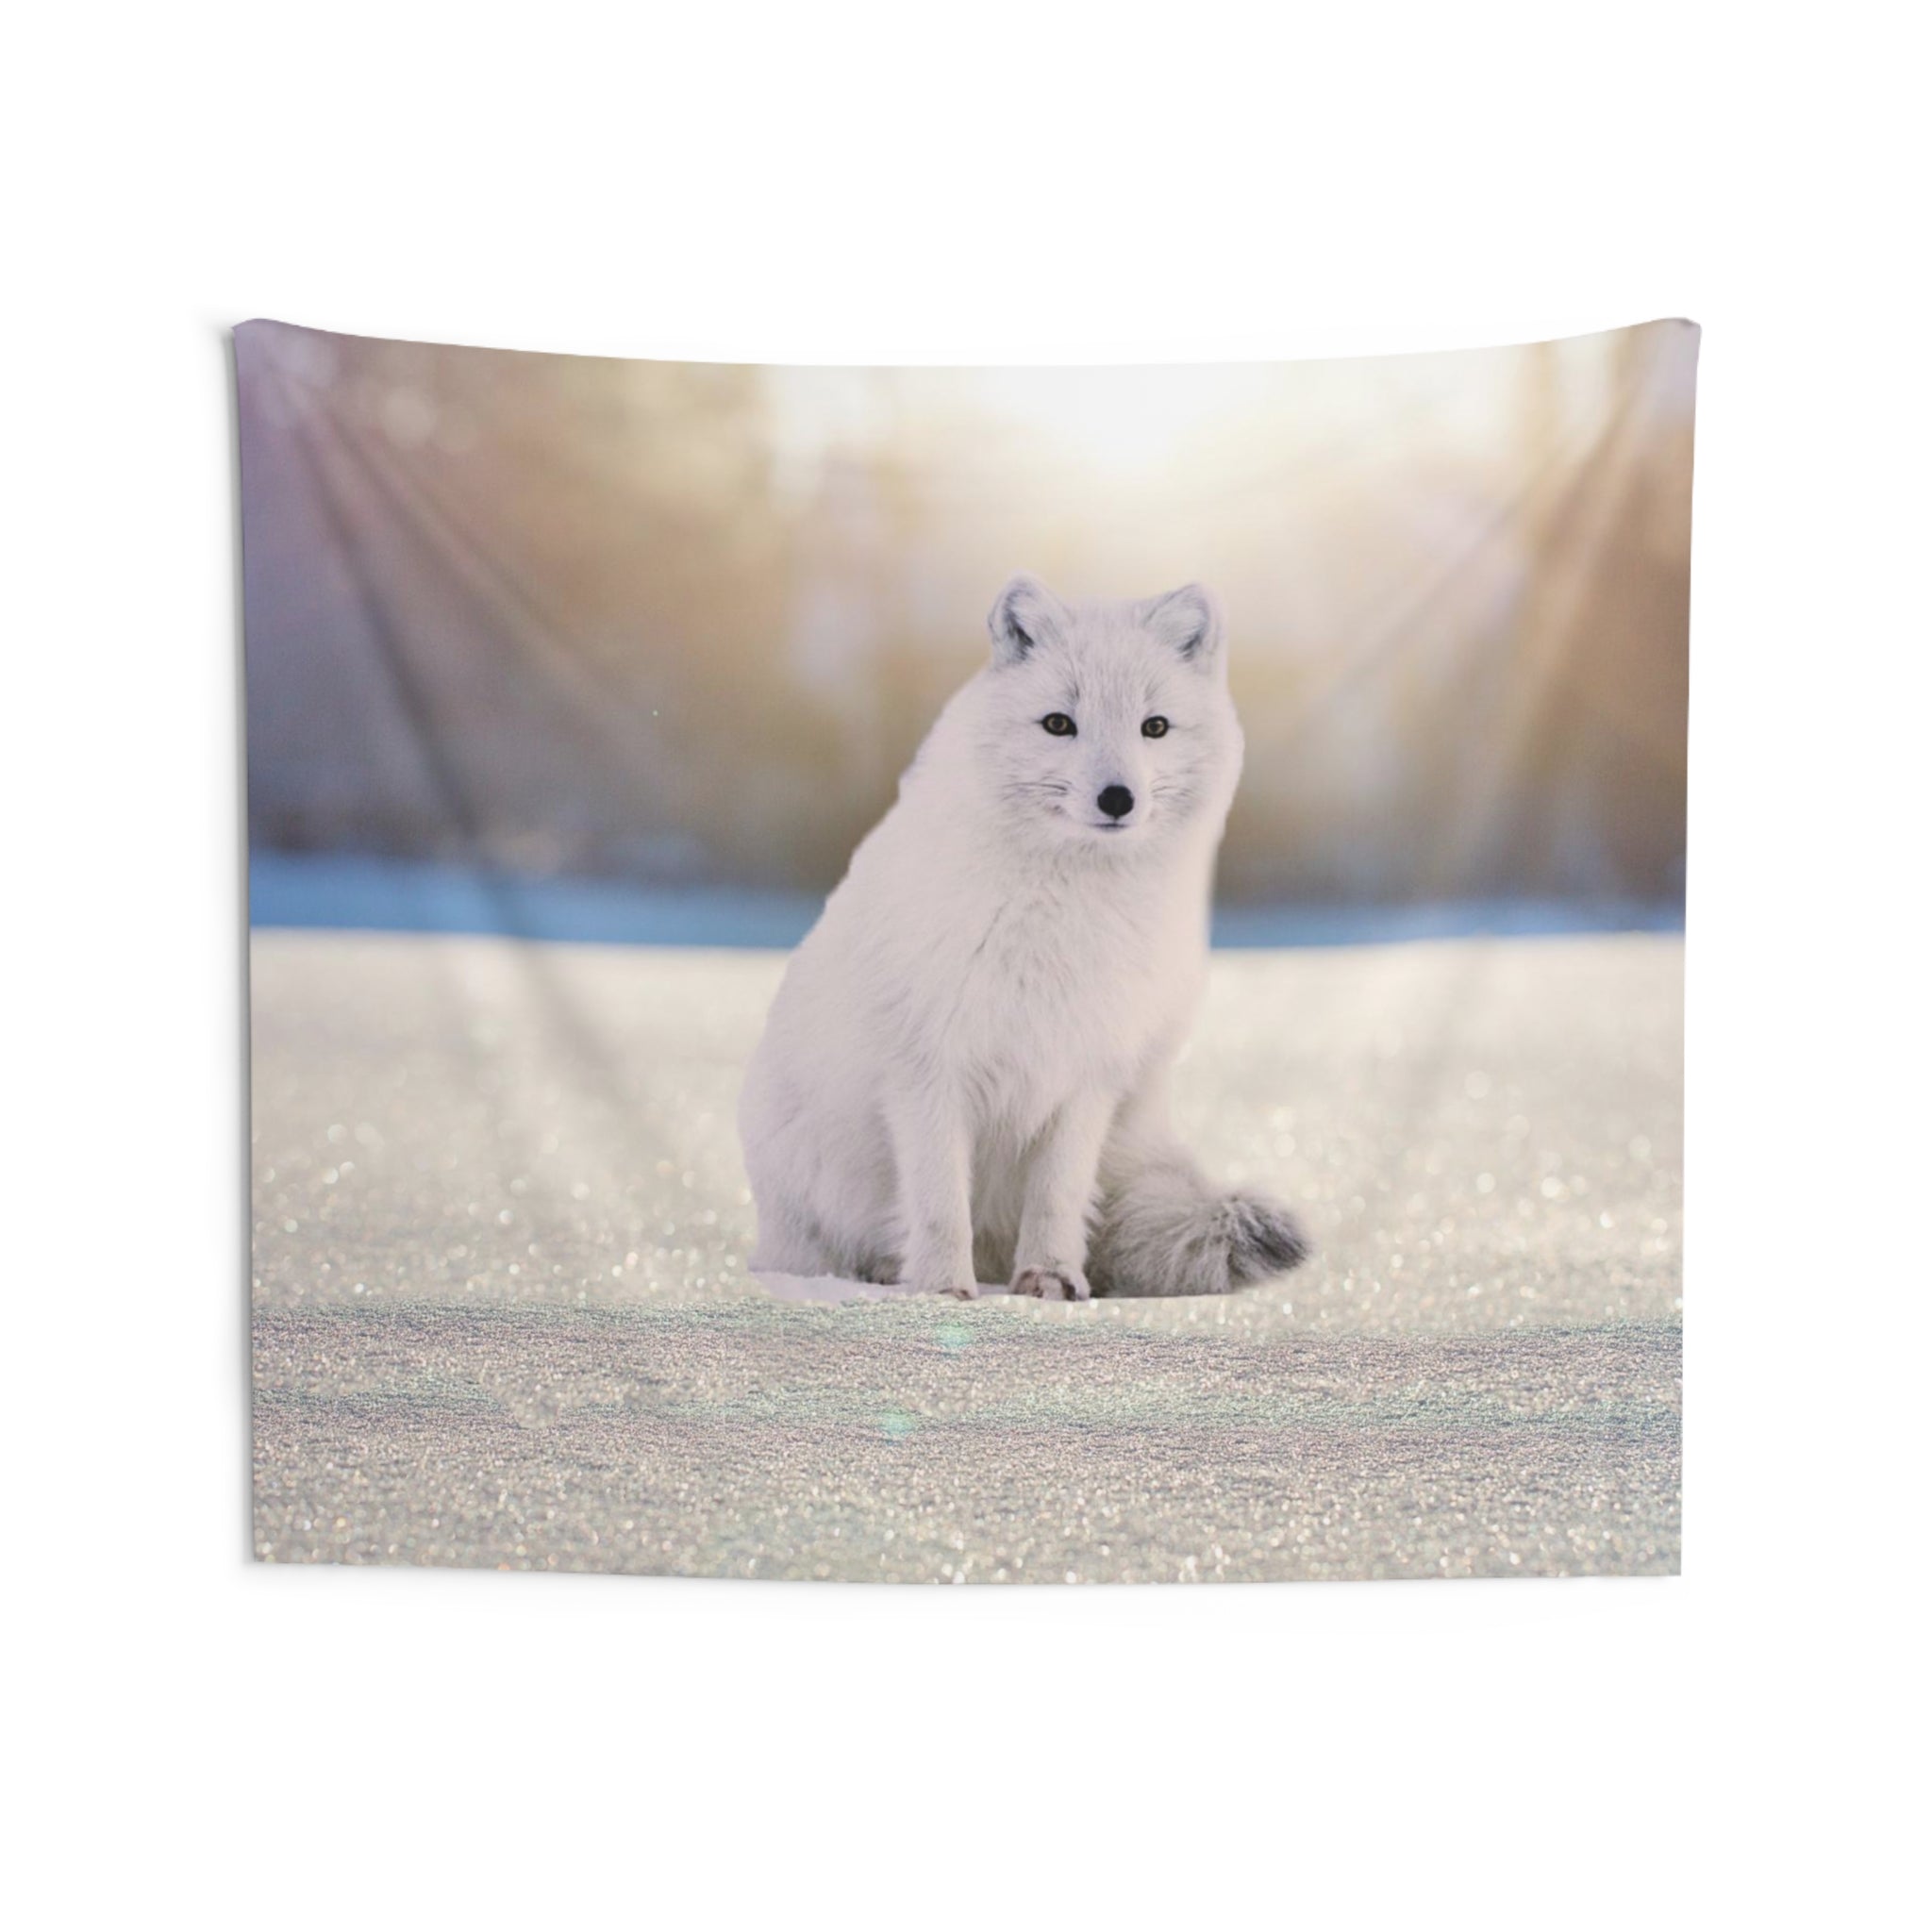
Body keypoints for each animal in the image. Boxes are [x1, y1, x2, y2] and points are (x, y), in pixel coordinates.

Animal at [738, 573, 1310, 1300]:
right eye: (1059, 723)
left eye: (1154, 726)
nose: (1118, 798)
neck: (1061, 915)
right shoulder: (927, 1068)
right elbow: (938, 1199)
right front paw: (941, 1290)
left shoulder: (1086, 1074)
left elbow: (1058, 1194)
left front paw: (1051, 1278)